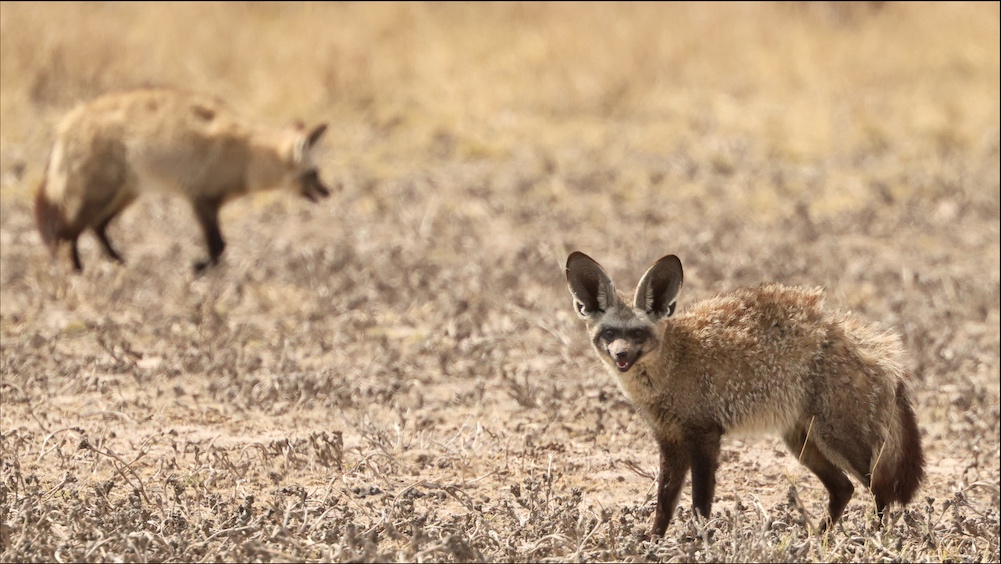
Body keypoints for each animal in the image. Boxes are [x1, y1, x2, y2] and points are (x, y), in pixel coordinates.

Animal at [34, 88, 332, 273]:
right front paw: (199, 268)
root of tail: (69, 120)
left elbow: (219, 247)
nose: (328, 192)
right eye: (315, 173)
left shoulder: (207, 202)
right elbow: (218, 247)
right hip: (98, 195)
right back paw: (75, 270)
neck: (247, 154)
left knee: (95, 228)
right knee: (66, 232)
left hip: (125, 194)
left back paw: (119, 262)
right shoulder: (201, 200)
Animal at [565, 251, 924, 538]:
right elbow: (664, 504)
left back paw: (872, 537)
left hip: (839, 440)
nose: (621, 355)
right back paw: (815, 539)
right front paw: (652, 544)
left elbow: (700, 503)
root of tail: (854, 335)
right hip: (803, 444)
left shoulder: (706, 435)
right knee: (844, 488)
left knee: (878, 490)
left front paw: (698, 543)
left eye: (638, 333)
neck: (673, 364)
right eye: (609, 332)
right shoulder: (670, 440)